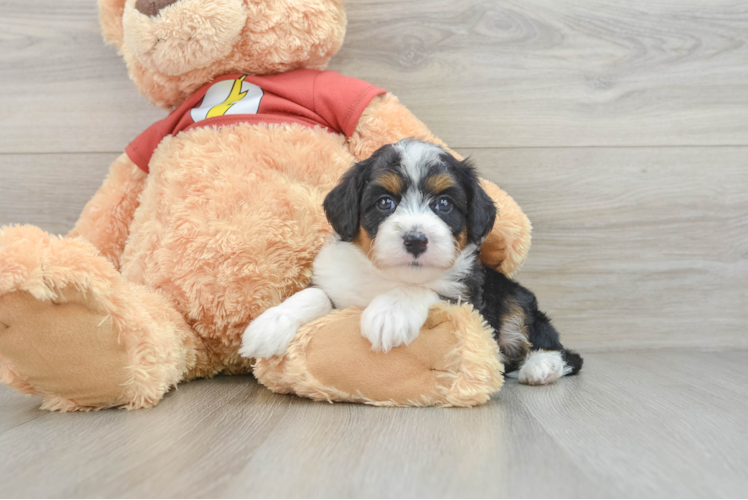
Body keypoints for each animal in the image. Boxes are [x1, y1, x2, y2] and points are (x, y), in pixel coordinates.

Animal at [243, 139, 580, 384]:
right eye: (385, 202)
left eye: (444, 204)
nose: (416, 240)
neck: (388, 276)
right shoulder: (338, 285)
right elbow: (315, 294)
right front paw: (271, 324)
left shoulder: (468, 297)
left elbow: (424, 288)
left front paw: (390, 313)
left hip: (516, 299)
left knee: (558, 347)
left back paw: (542, 366)